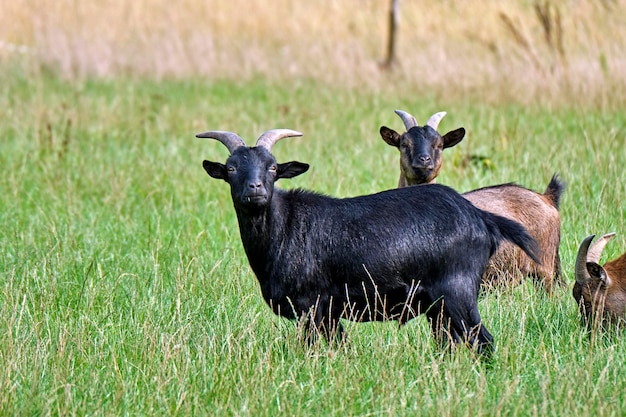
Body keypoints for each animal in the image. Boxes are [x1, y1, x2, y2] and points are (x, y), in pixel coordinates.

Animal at [197, 127, 540, 354]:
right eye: (231, 168)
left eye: (272, 167)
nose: (254, 189)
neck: (285, 228)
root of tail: (480, 217)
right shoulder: (329, 313)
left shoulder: (312, 305)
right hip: (438, 307)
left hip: (458, 291)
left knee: (483, 341)